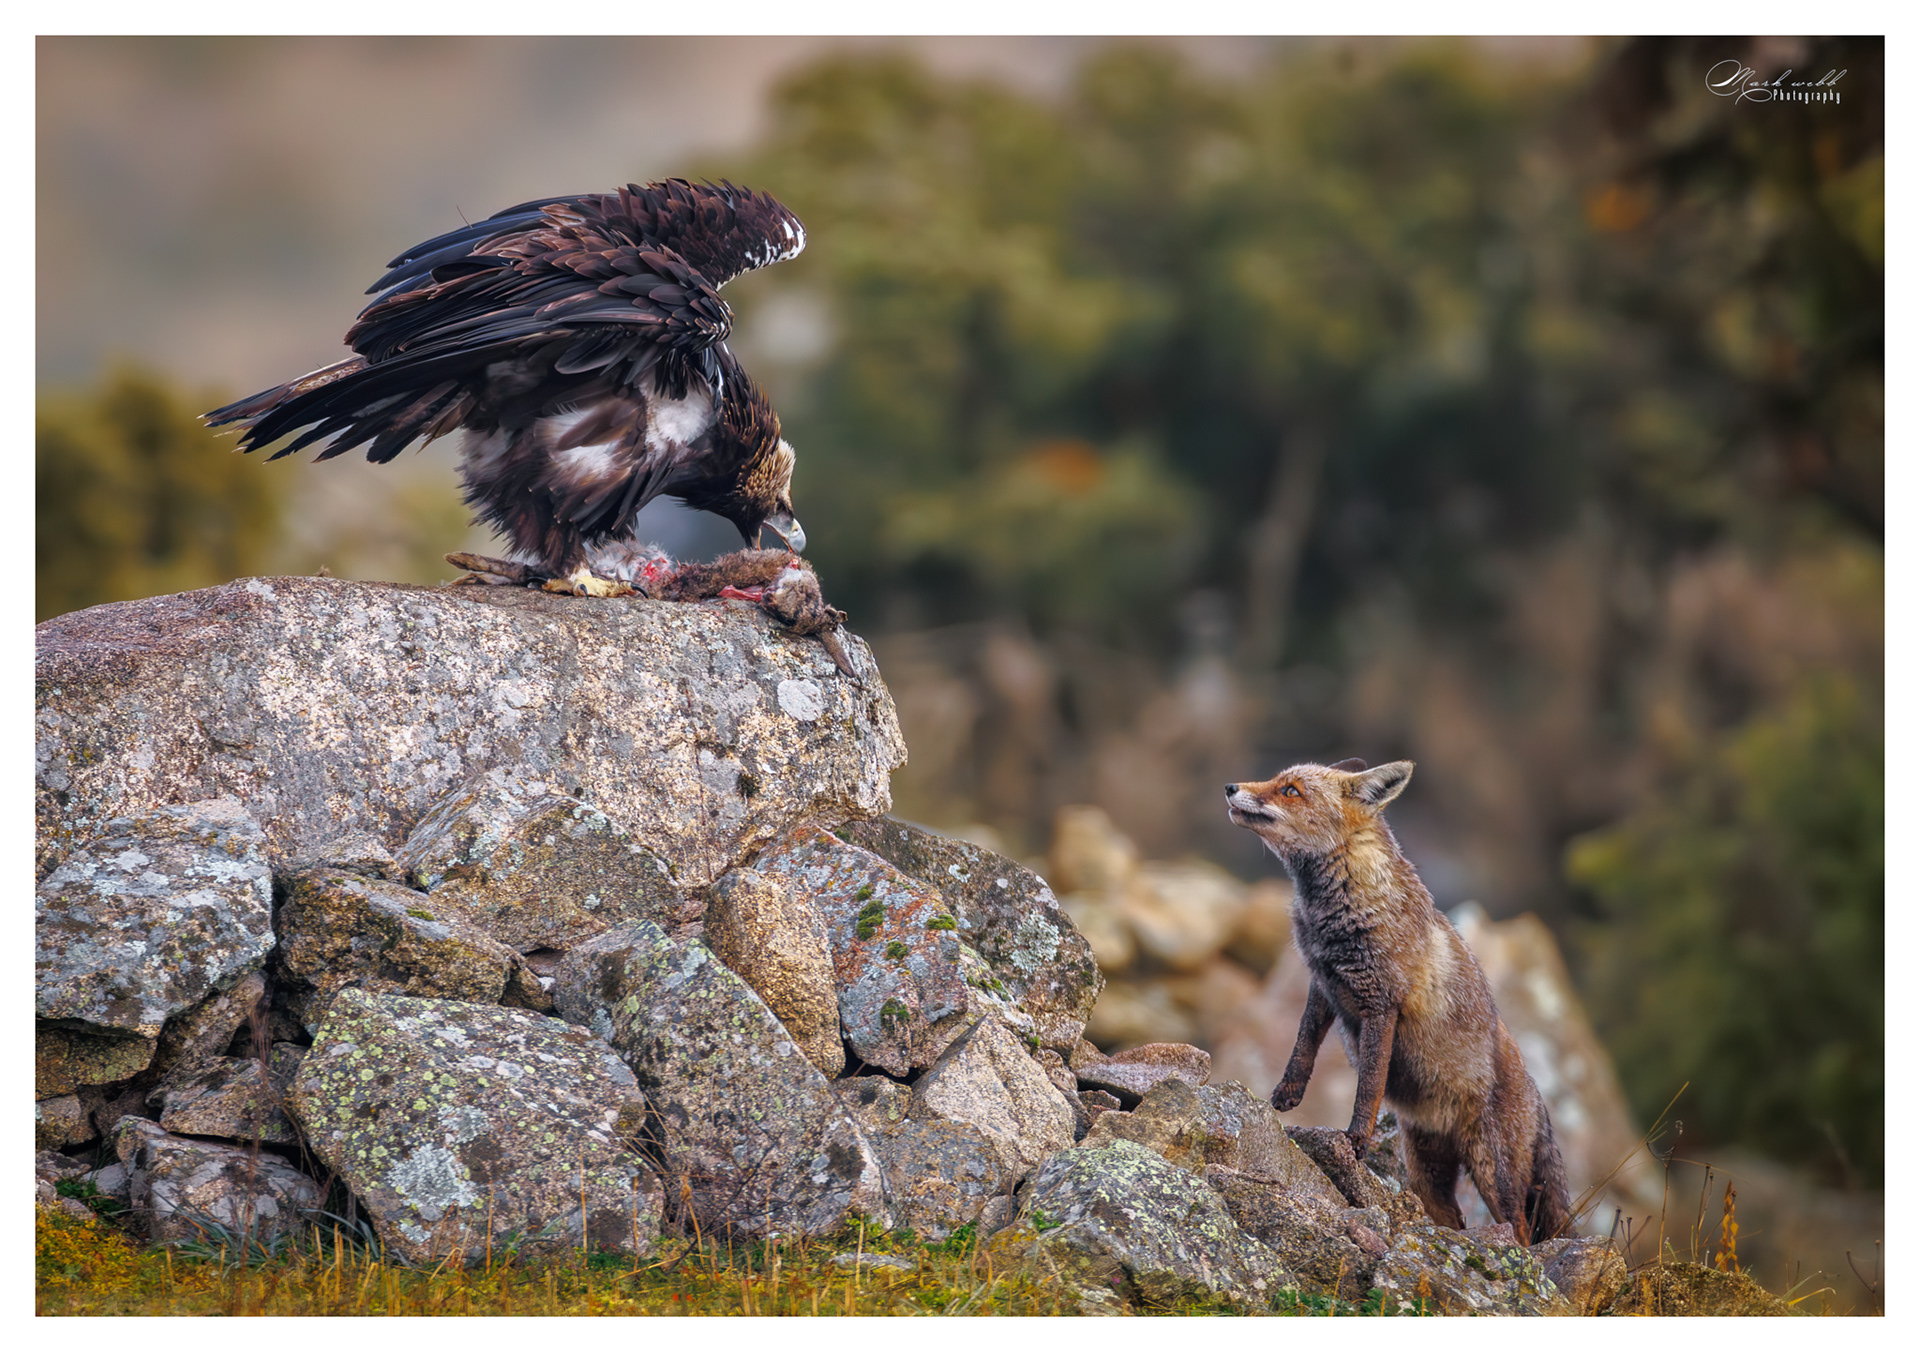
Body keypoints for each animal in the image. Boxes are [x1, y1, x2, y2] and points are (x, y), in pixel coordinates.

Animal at [1224, 758, 1572, 1243]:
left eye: (1291, 790)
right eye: (1278, 780)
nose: (1229, 787)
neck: (1340, 910)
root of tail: (1540, 1099)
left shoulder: (1381, 1002)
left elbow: (1369, 1084)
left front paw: (1355, 1141)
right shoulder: (1322, 983)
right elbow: (1302, 1046)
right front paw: (1285, 1096)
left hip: (1494, 1177)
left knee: (1519, 1229)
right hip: (1428, 1177)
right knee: (1452, 1218)